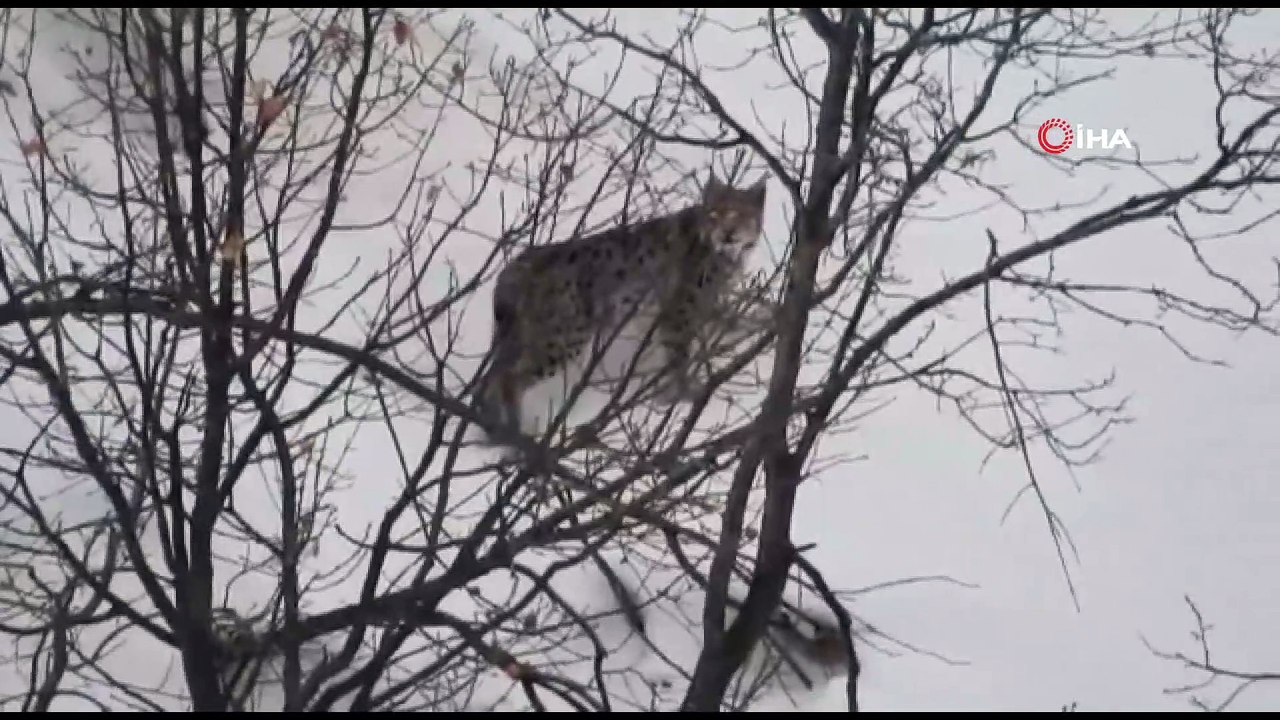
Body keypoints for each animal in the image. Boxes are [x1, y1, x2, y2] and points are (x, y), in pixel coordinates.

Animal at [478, 173, 768, 441]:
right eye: (714, 214)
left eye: (738, 213)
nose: (727, 234)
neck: (728, 253)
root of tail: (520, 261)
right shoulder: (680, 312)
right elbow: (679, 357)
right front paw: (686, 394)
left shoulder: (707, 306)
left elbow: (744, 316)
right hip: (563, 337)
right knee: (508, 378)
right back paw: (515, 433)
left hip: (525, 336)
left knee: (490, 377)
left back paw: (492, 430)